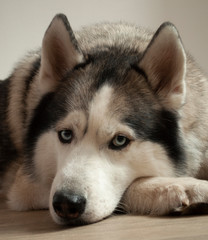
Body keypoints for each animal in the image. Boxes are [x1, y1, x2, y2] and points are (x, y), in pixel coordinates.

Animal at [1, 14, 208, 226]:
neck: (116, 45)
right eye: (65, 134)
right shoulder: (26, 186)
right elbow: (132, 184)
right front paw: (184, 187)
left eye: (119, 140)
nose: (66, 203)